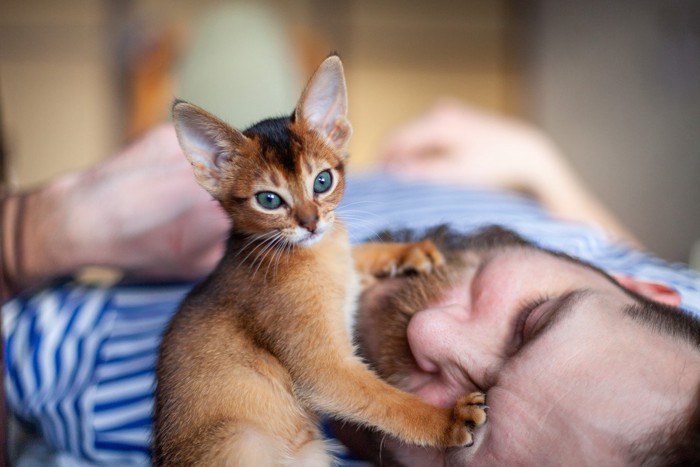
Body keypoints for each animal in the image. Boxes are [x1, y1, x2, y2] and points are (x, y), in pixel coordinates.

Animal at [153, 56, 486, 466]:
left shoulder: (341, 259)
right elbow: (387, 402)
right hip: (244, 440)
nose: (310, 223)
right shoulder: (323, 370)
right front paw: (447, 419)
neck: (316, 256)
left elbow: (358, 253)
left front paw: (407, 251)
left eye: (322, 181)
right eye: (268, 200)